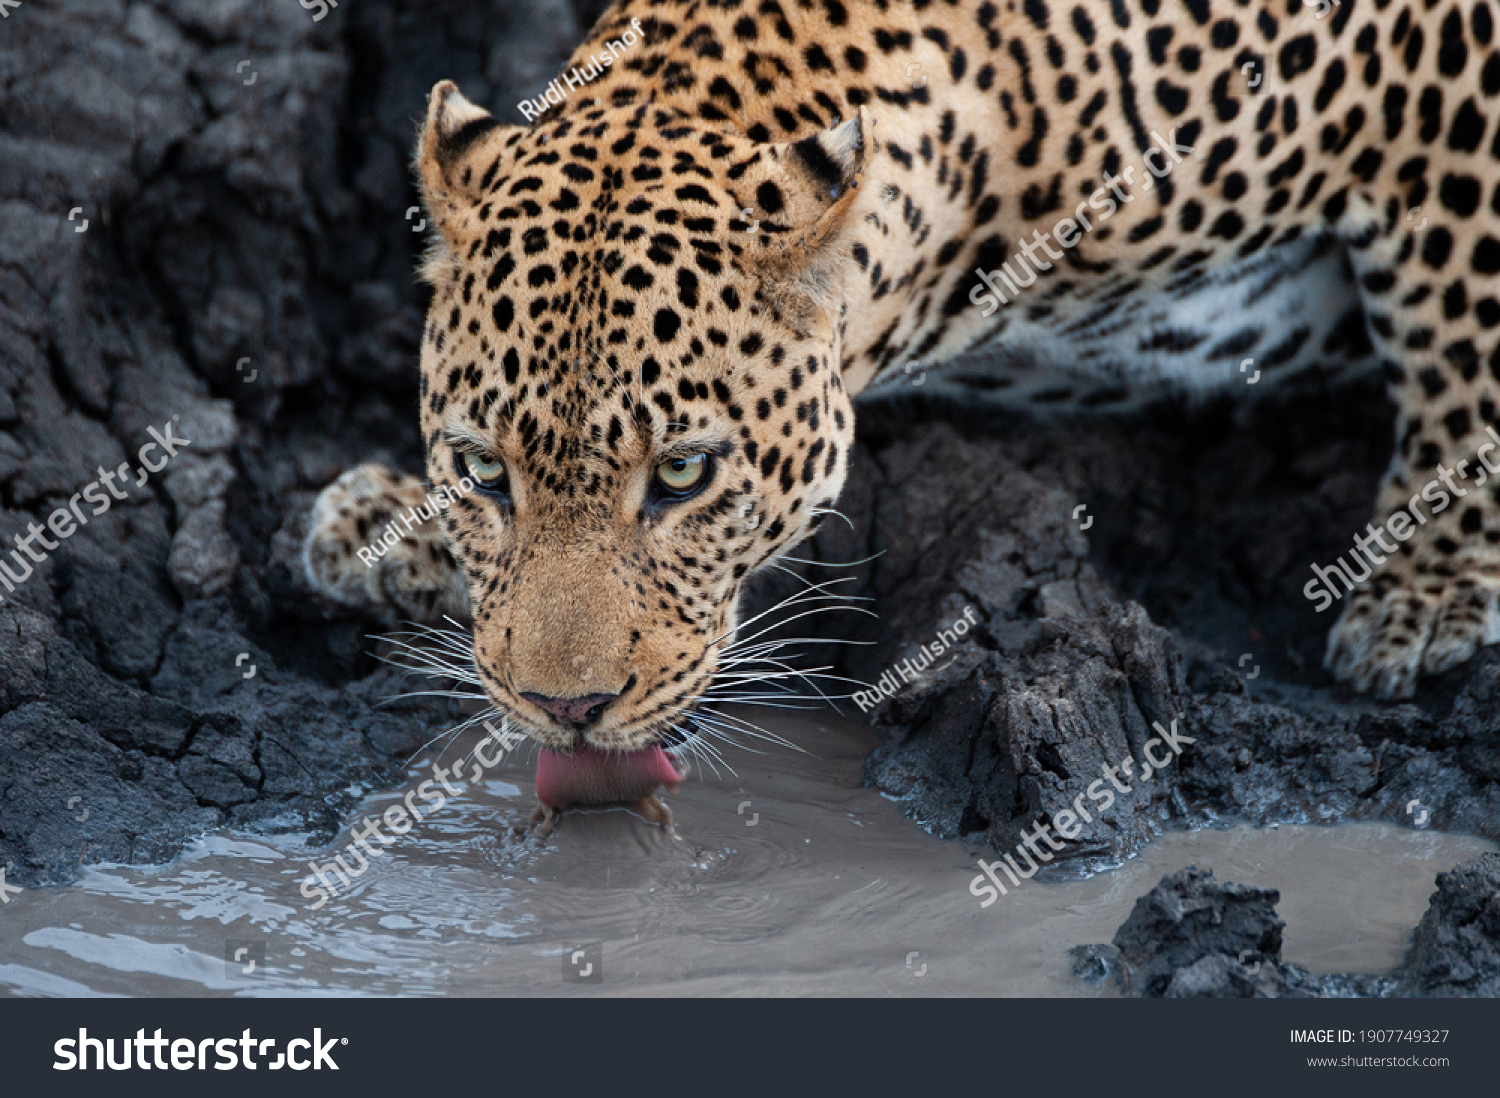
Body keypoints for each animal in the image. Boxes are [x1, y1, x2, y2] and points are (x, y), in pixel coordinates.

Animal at [301, 0, 1500, 822]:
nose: (566, 711)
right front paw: (393, 522)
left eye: (683, 475)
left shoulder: (1439, 78)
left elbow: (1461, 327)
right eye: (482, 472)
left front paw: (1425, 582)